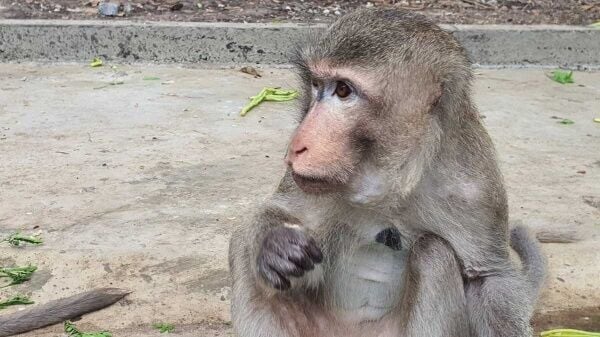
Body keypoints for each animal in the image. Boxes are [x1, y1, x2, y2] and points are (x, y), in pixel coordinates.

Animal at [230, 7, 548, 336]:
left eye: (343, 90)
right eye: (316, 85)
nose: (297, 146)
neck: (393, 176)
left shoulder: (476, 189)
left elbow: (490, 278)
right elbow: (280, 210)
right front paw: (276, 245)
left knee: (433, 253)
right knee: (242, 245)